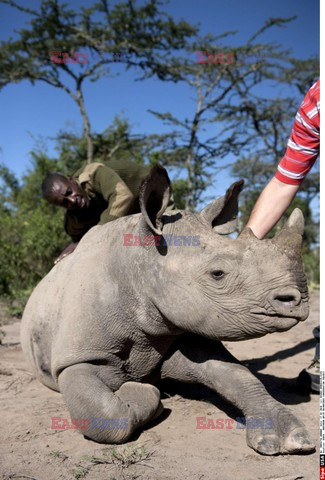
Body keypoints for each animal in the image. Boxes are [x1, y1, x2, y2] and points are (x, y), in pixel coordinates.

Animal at [20, 165, 314, 454]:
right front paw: (146, 393)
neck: (138, 265)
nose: (298, 299)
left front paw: (292, 438)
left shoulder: (181, 324)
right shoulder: (75, 357)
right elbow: (105, 414)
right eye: (217, 274)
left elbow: (237, 374)